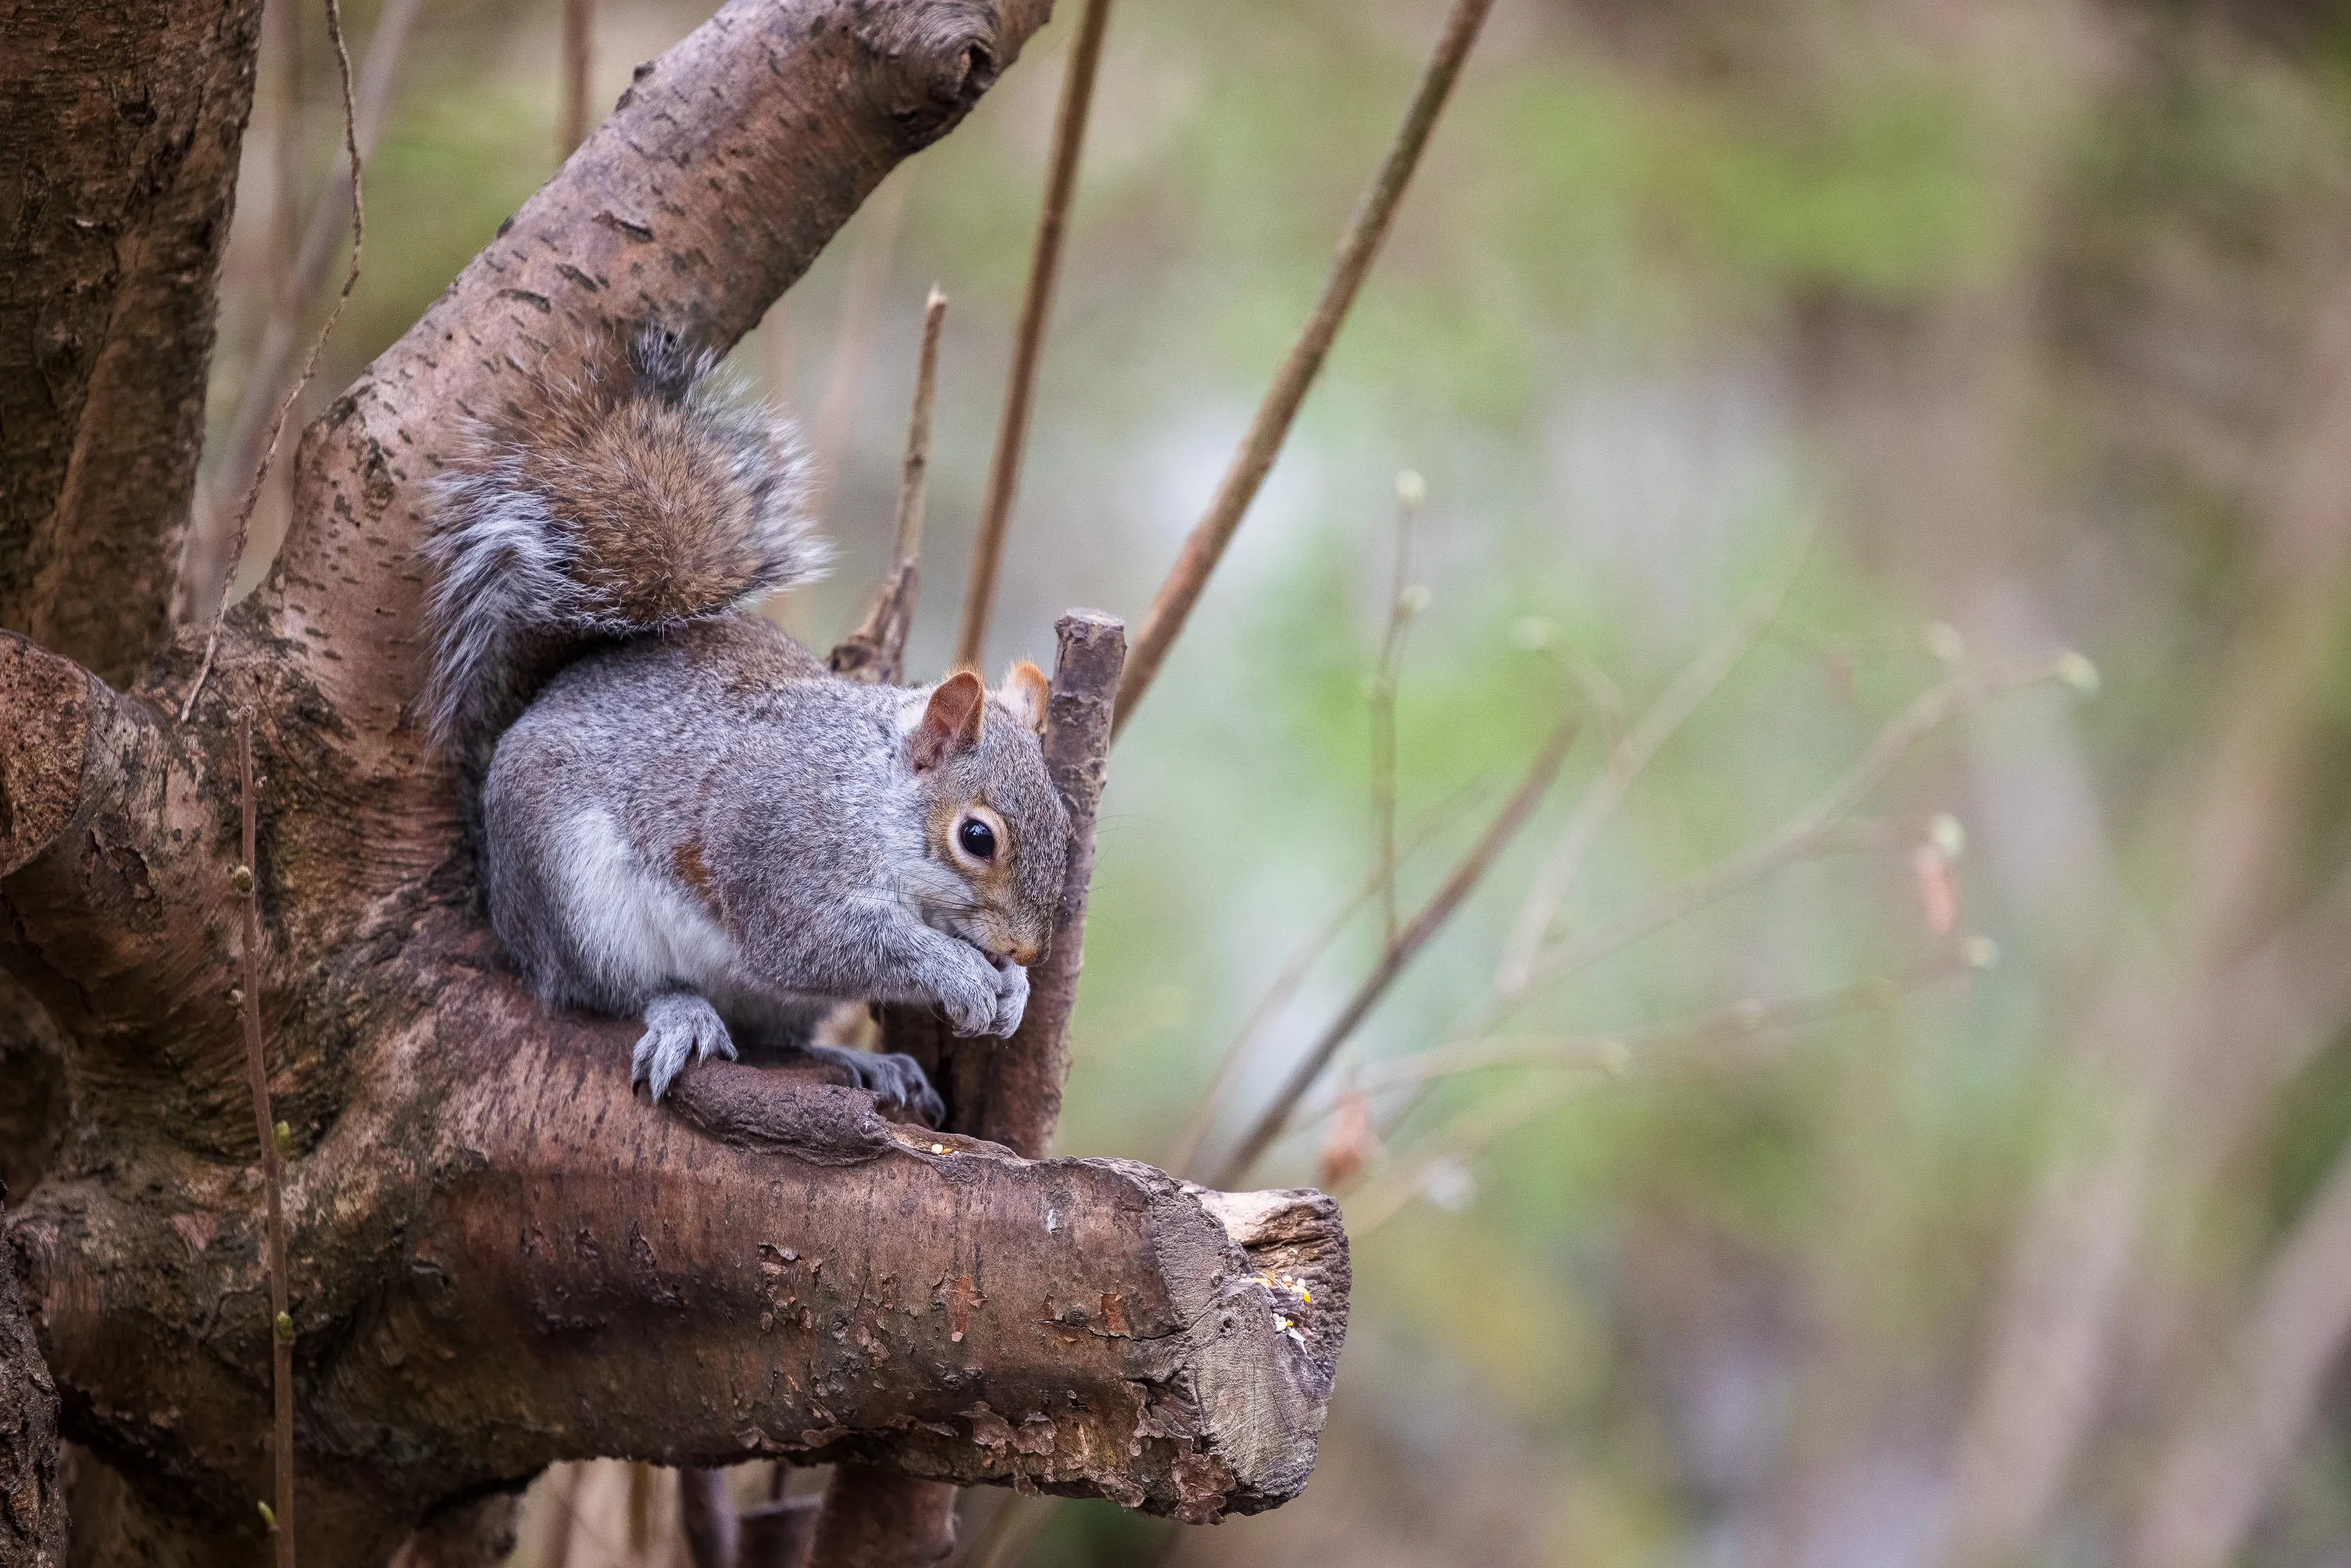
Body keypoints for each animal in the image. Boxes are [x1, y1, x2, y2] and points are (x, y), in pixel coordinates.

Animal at [423, 328, 1069, 1121]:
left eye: (1065, 823)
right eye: (977, 838)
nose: (1030, 949)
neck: (869, 797)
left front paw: (1014, 990)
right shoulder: (779, 856)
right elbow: (828, 943)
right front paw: (964, 973)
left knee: (776, 1040)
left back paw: (858, 1060)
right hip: (575, 898)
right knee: (609, 992)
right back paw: (683, 1013)